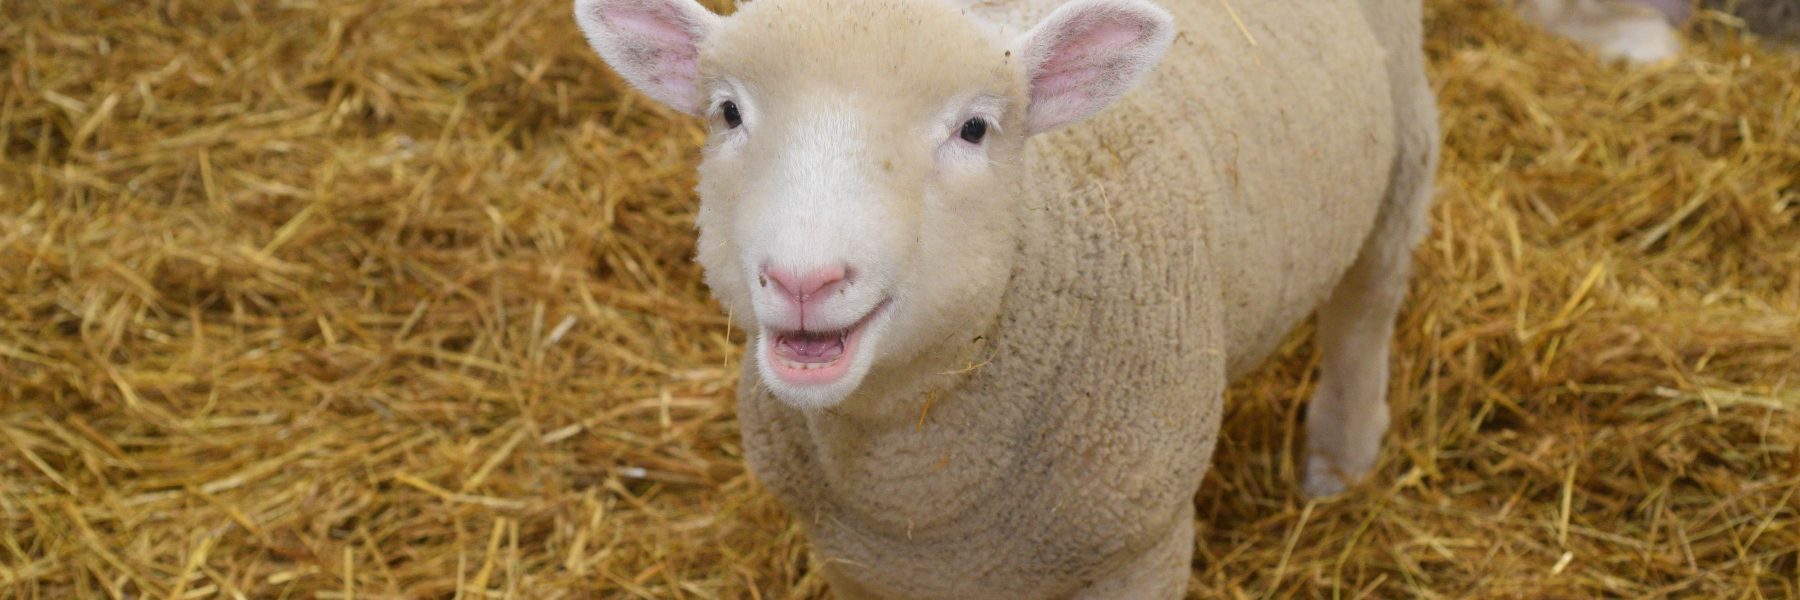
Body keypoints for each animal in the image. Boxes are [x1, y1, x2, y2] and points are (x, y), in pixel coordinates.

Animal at [574, 0, 1438, 596]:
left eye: (975, 129)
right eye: (728, 113)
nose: (803, 280)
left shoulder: (1140, 551)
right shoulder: (854, 562)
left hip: (1404, 130)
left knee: (1367, 306)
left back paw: (1340, 459)